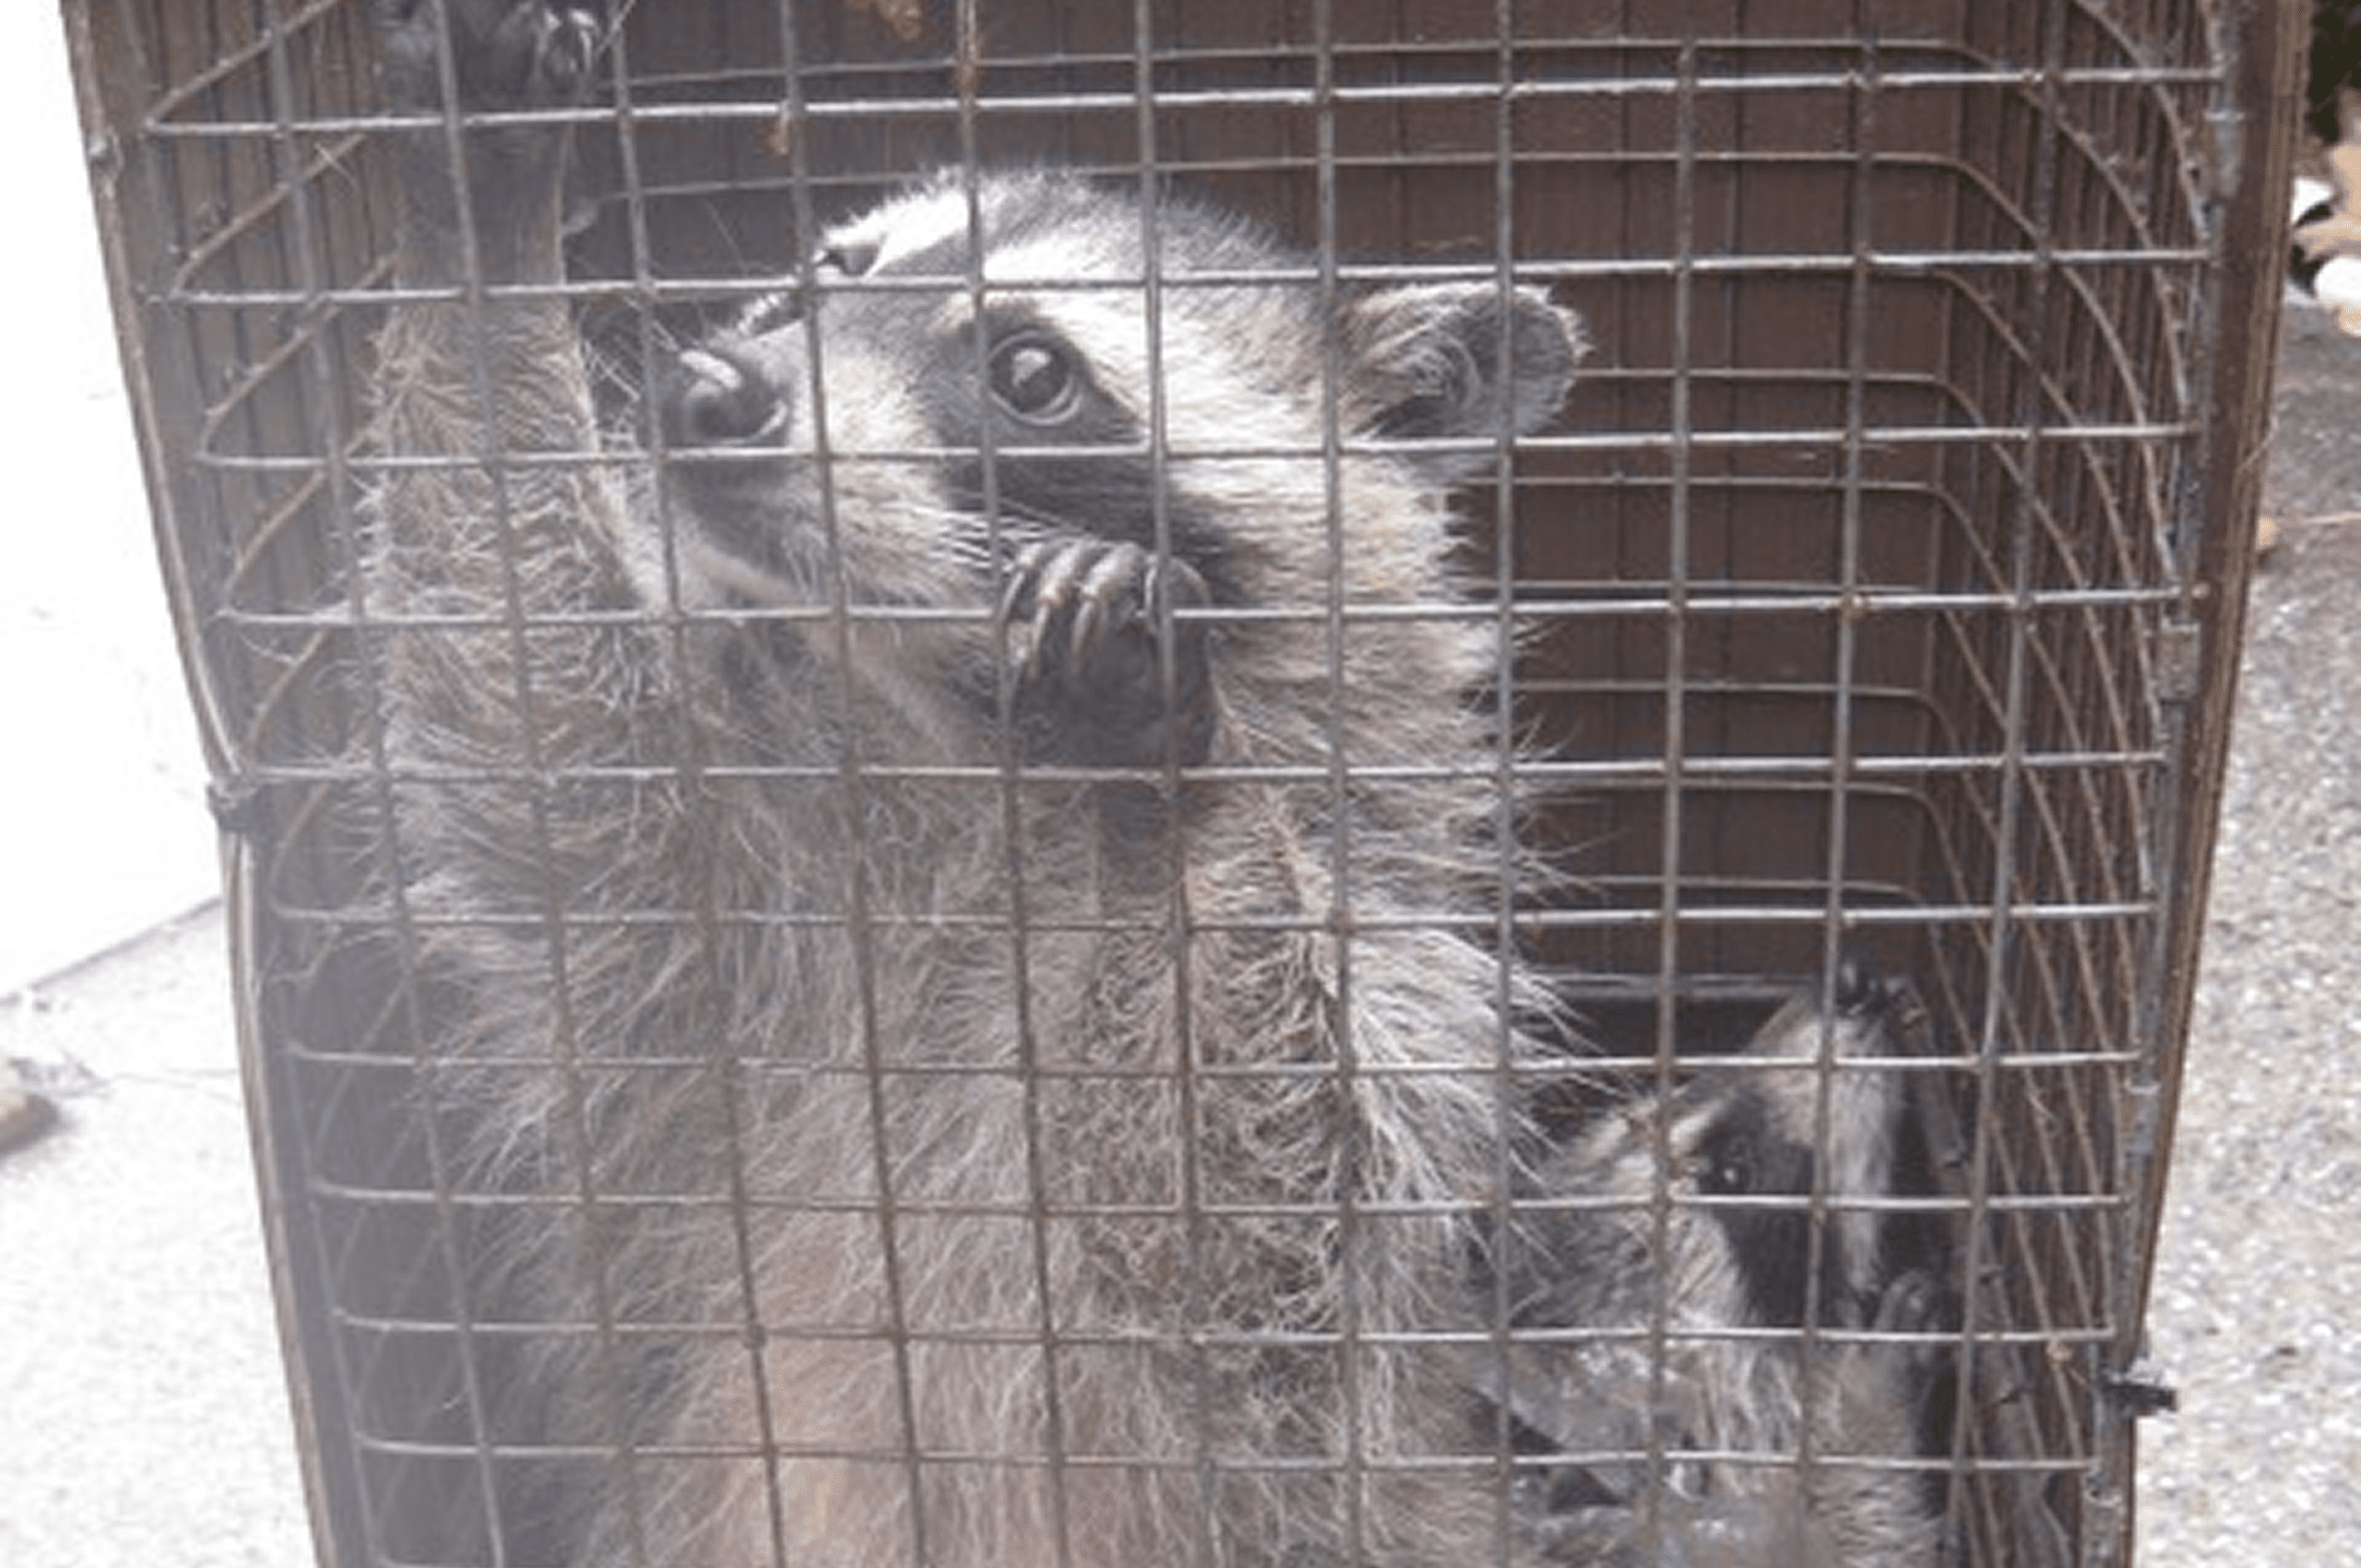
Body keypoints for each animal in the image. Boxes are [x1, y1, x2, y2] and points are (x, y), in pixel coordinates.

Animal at [359, 5, 1582, 1567]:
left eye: (1032, 373)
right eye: (833, 274)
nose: (713, 390)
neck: (947, 743)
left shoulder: (1404, 984)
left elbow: (1247, 1231)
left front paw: (1176, 799)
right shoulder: (709, 936)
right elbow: (538, 720)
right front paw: (483, 227)